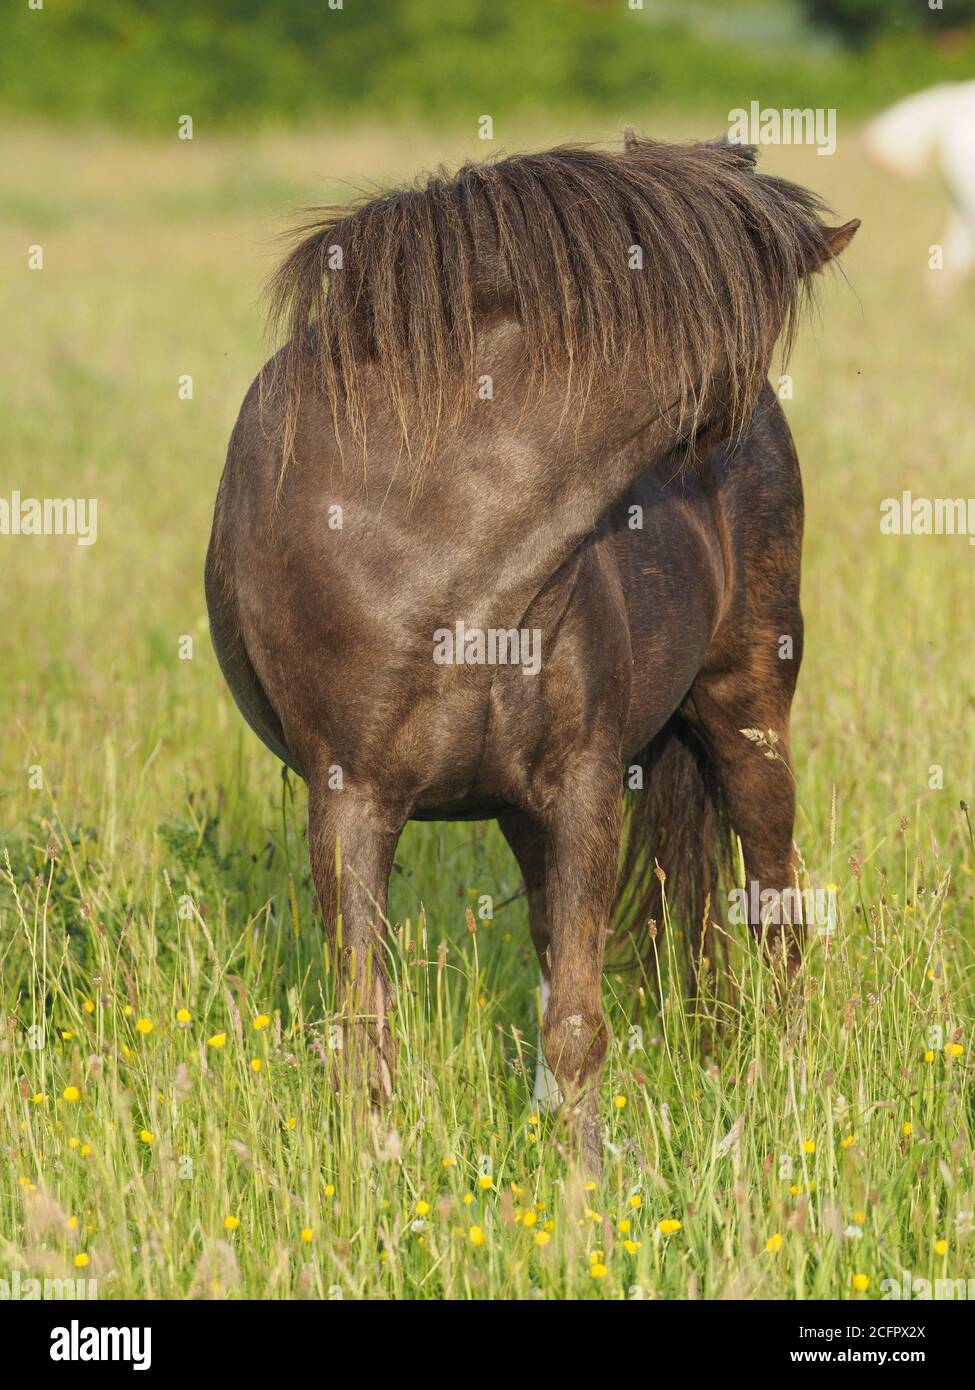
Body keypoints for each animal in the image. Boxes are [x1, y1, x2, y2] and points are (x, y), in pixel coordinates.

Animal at [205, 132, 851, 1173]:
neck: (434, 529)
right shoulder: (349, 800)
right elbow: (367, 1023)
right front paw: (378, 1178)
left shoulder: (582, 783)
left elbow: (580, 1019)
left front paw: (583, 1190)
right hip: (518, 806)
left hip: (744, 712)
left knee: (772, 902)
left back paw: (785, 1096)